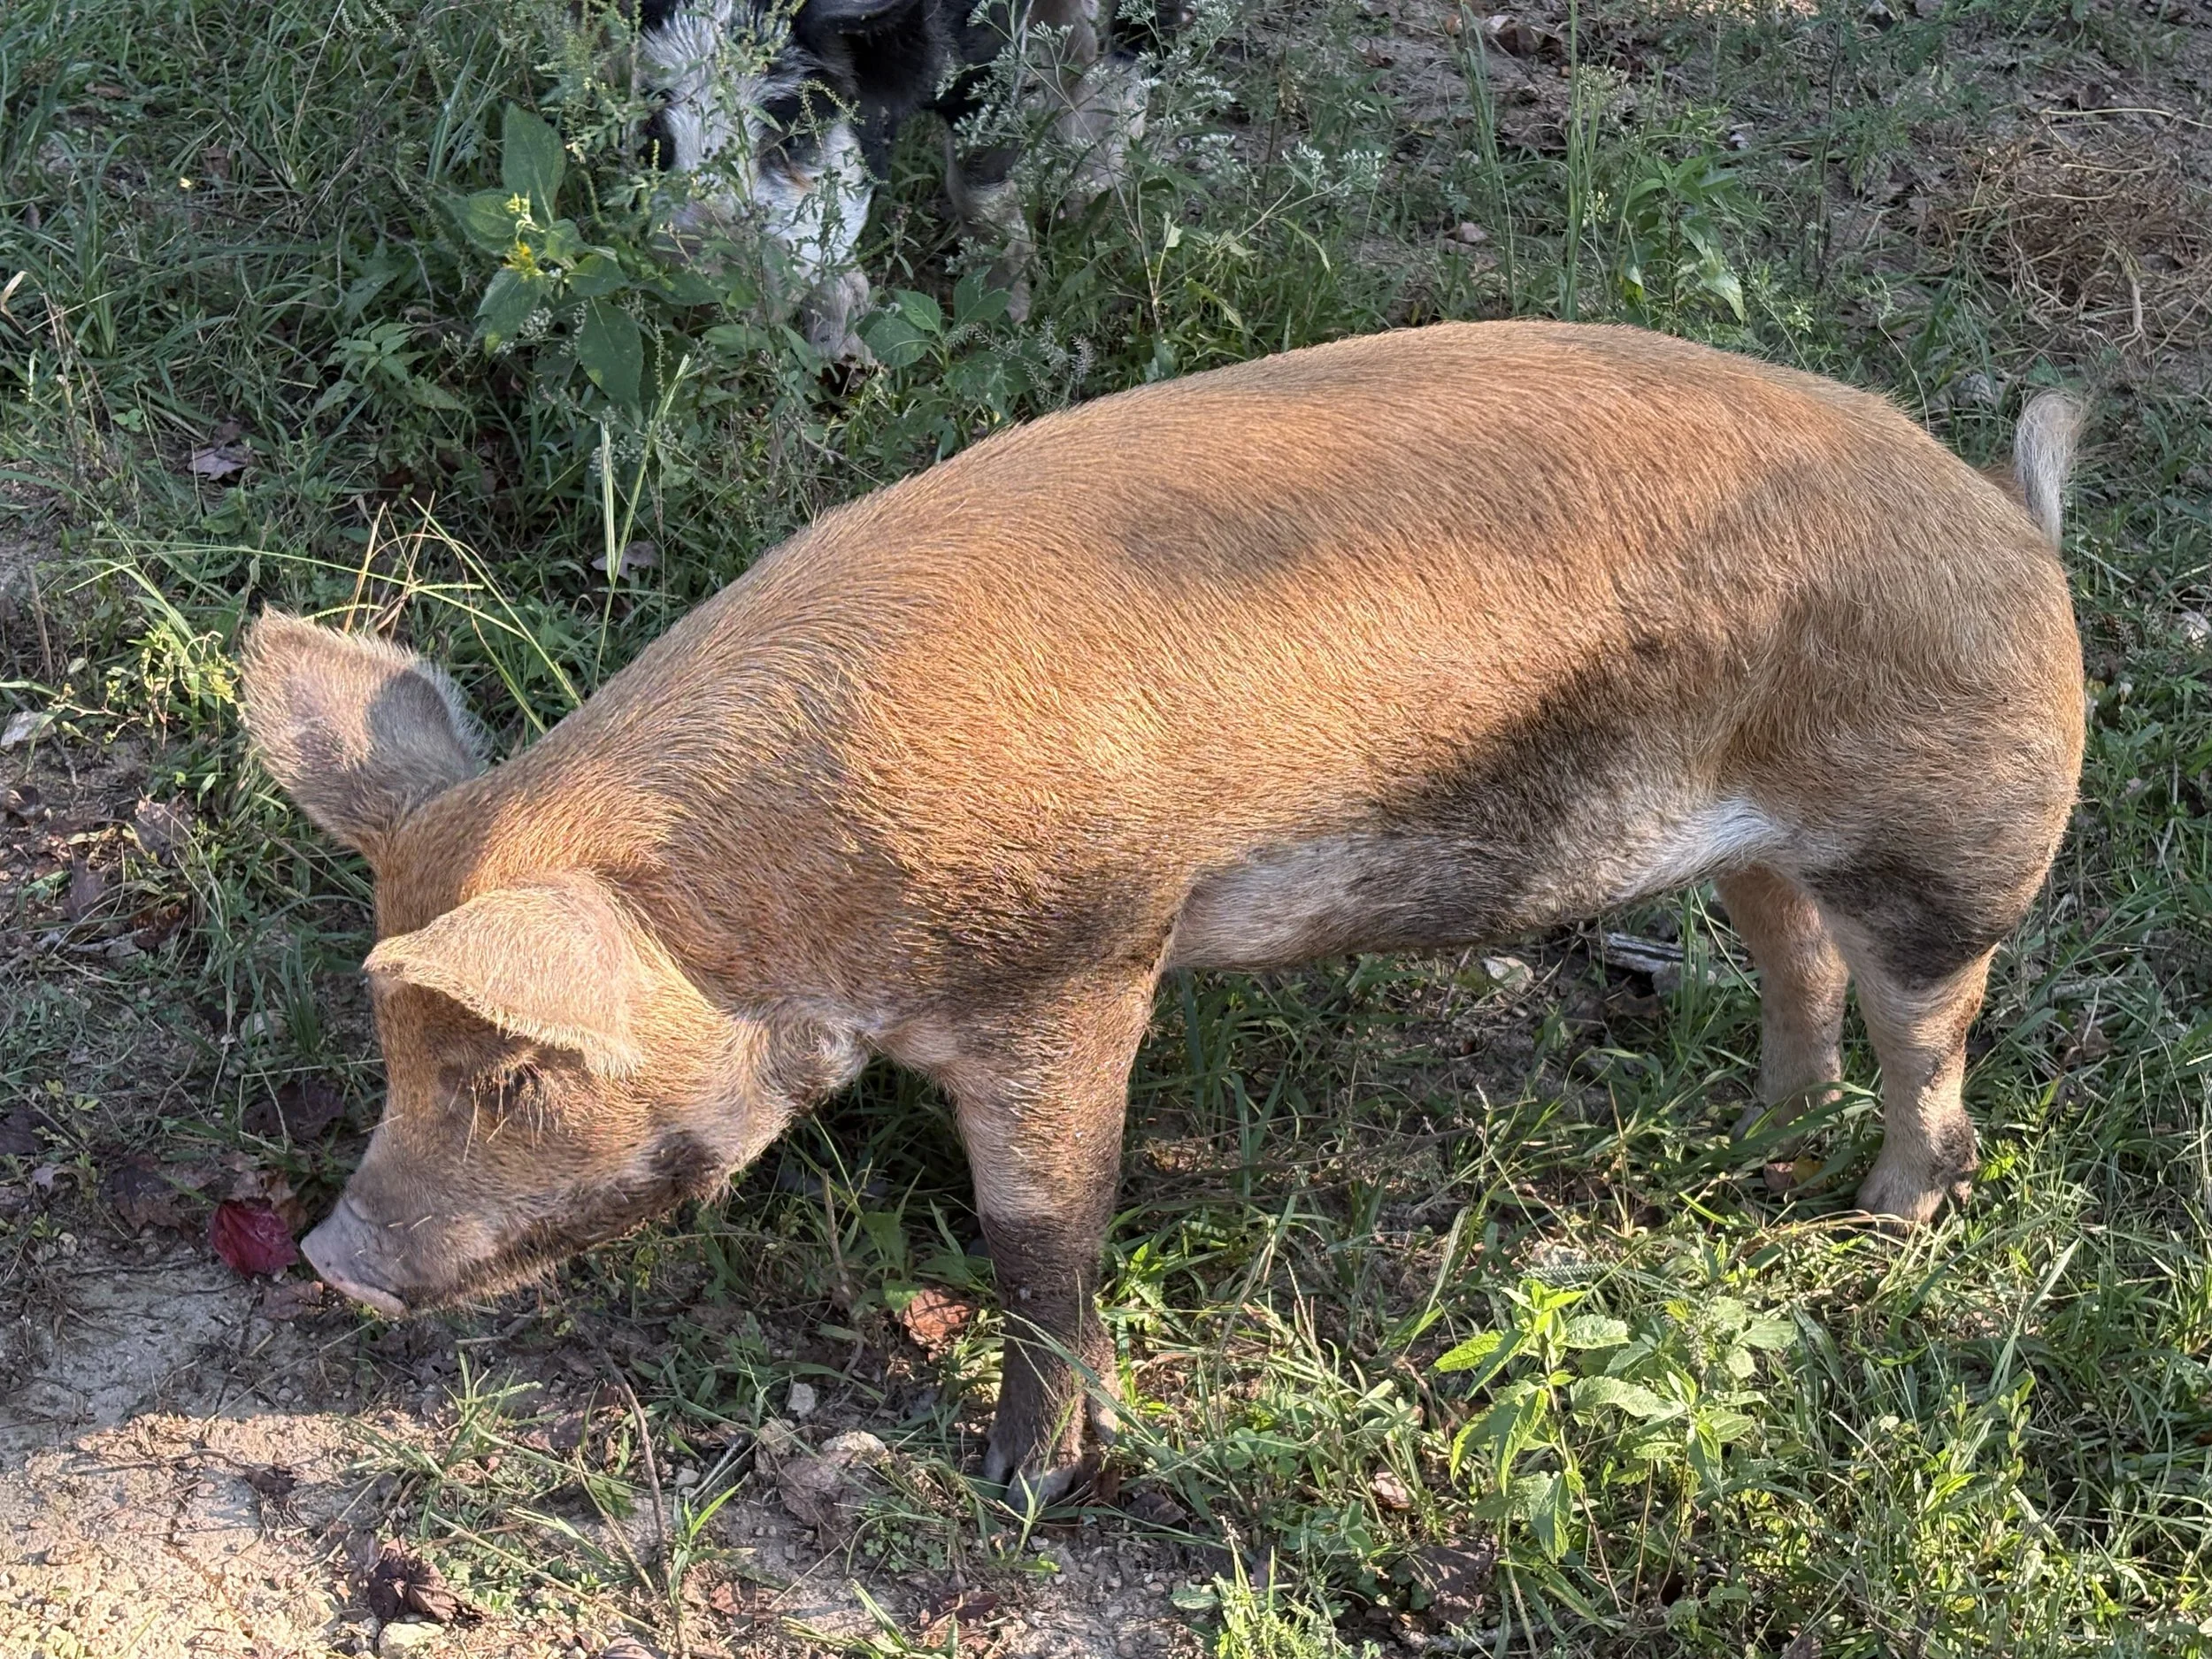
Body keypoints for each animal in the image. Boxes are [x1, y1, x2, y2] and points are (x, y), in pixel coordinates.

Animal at [242, 321, 2085, 1502]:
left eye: (515, 1070)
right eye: (396, 1058)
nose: (331, 1257)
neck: (790, 903)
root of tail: (2018, 523)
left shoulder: (1081, 963)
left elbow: (1044, 1234)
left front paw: (1023, 1484)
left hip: (1955, 845)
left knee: (1934, 1048)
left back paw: (1869, 1235)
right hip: (1761, 848)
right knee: (1792, 960)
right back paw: (1747, 1152)